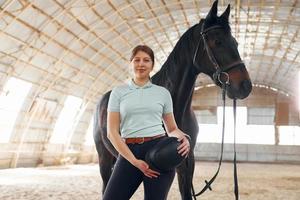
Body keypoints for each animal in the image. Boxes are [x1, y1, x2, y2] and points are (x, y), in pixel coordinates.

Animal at [92, 0, 252, 199]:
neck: (176, 106)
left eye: (235, 42)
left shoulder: (187, 161)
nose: (245, 86)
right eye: (217, 41)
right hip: (104, 158)